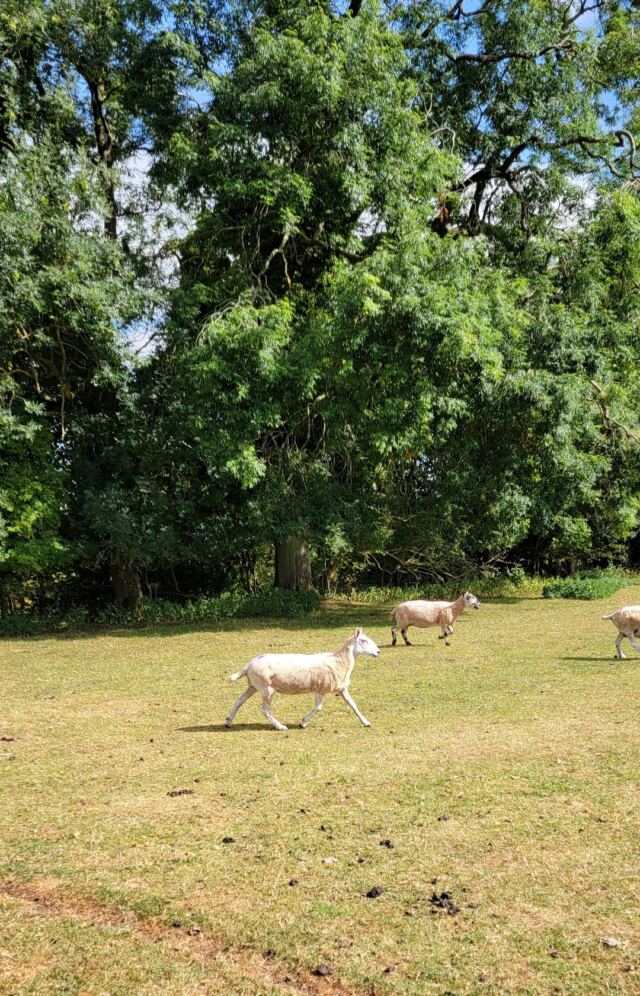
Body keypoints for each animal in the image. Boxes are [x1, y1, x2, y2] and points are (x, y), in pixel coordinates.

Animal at [225, 627, 380, 731]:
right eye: (363, 640)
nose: (378, 652)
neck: (340, 661)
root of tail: (250, 664)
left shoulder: (341, 688)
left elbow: (353, 705)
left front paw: (366, 722)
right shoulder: (321, 688)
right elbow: (318, 708)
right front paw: (303, 723)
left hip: (254, 686)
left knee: (239, 701)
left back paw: (228, 722)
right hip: (266, 688)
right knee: (264, 710)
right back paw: (280, 726)